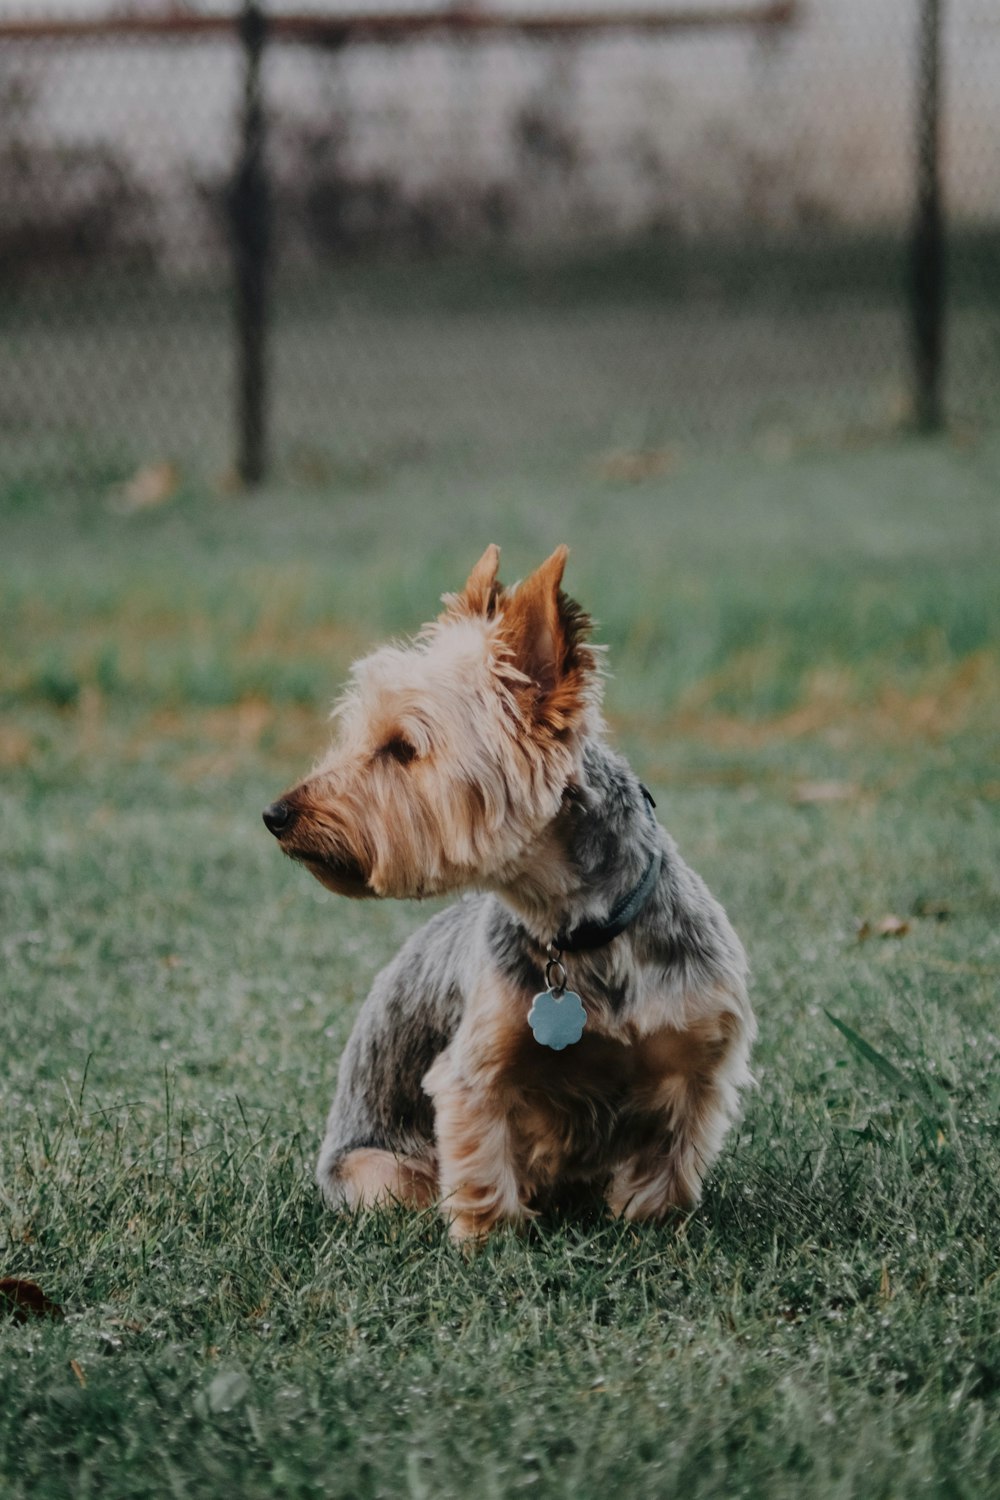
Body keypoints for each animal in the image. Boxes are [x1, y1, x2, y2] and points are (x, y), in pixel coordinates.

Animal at [262, 549, 755, 1242]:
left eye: (401, 749)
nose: (276, 815)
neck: (580, 932)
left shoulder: (697, 1055)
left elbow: (666, 1162)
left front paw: (648, 1226)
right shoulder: (475, 1068)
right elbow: (482, 1159)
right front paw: (488, 1240)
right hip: (378, 1172)